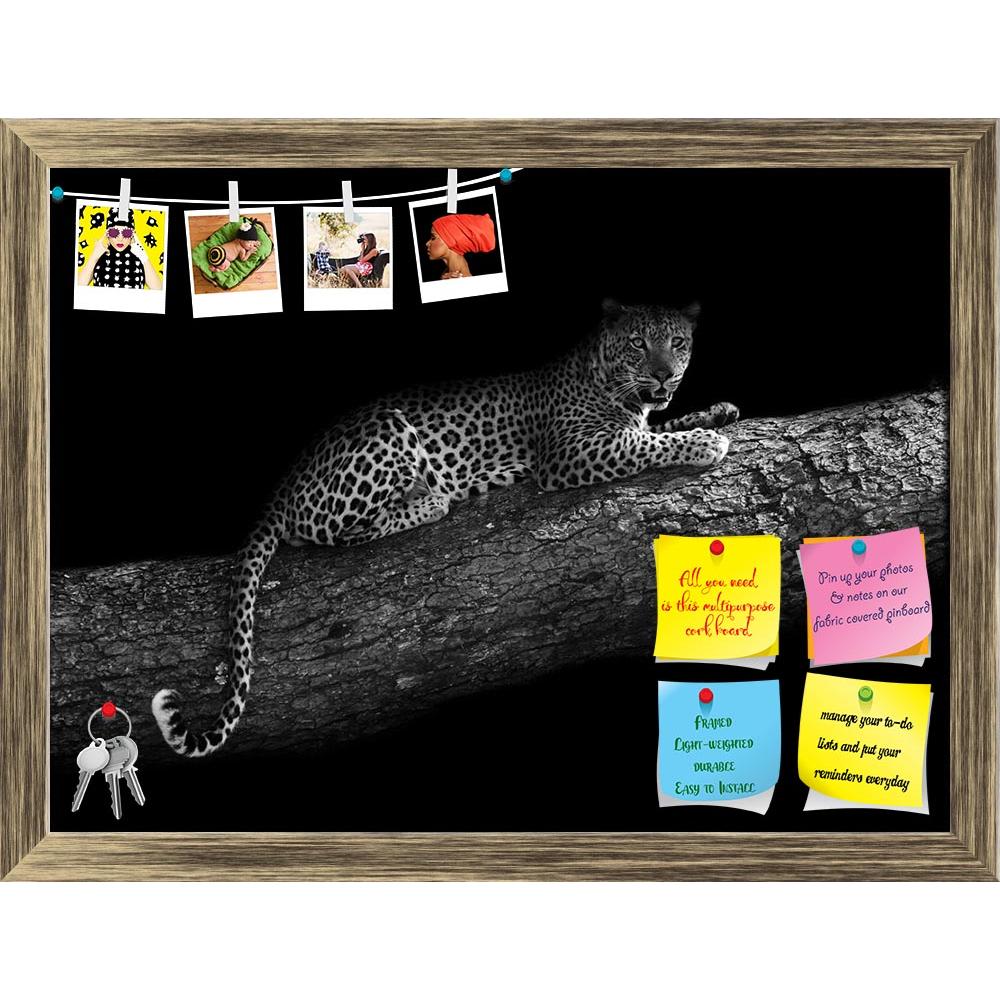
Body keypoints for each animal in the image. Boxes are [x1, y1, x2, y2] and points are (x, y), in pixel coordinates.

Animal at [152, 299, 740, 756]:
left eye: (678, 343)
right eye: (639, 343)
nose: (663, 374)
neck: (612, 380)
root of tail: (280, 489)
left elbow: (658, 427)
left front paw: (718, 412)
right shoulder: (571, 453)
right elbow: (646, 444)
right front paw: (705, 443)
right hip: (386, 433)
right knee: (347, 530)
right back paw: (431, 499)